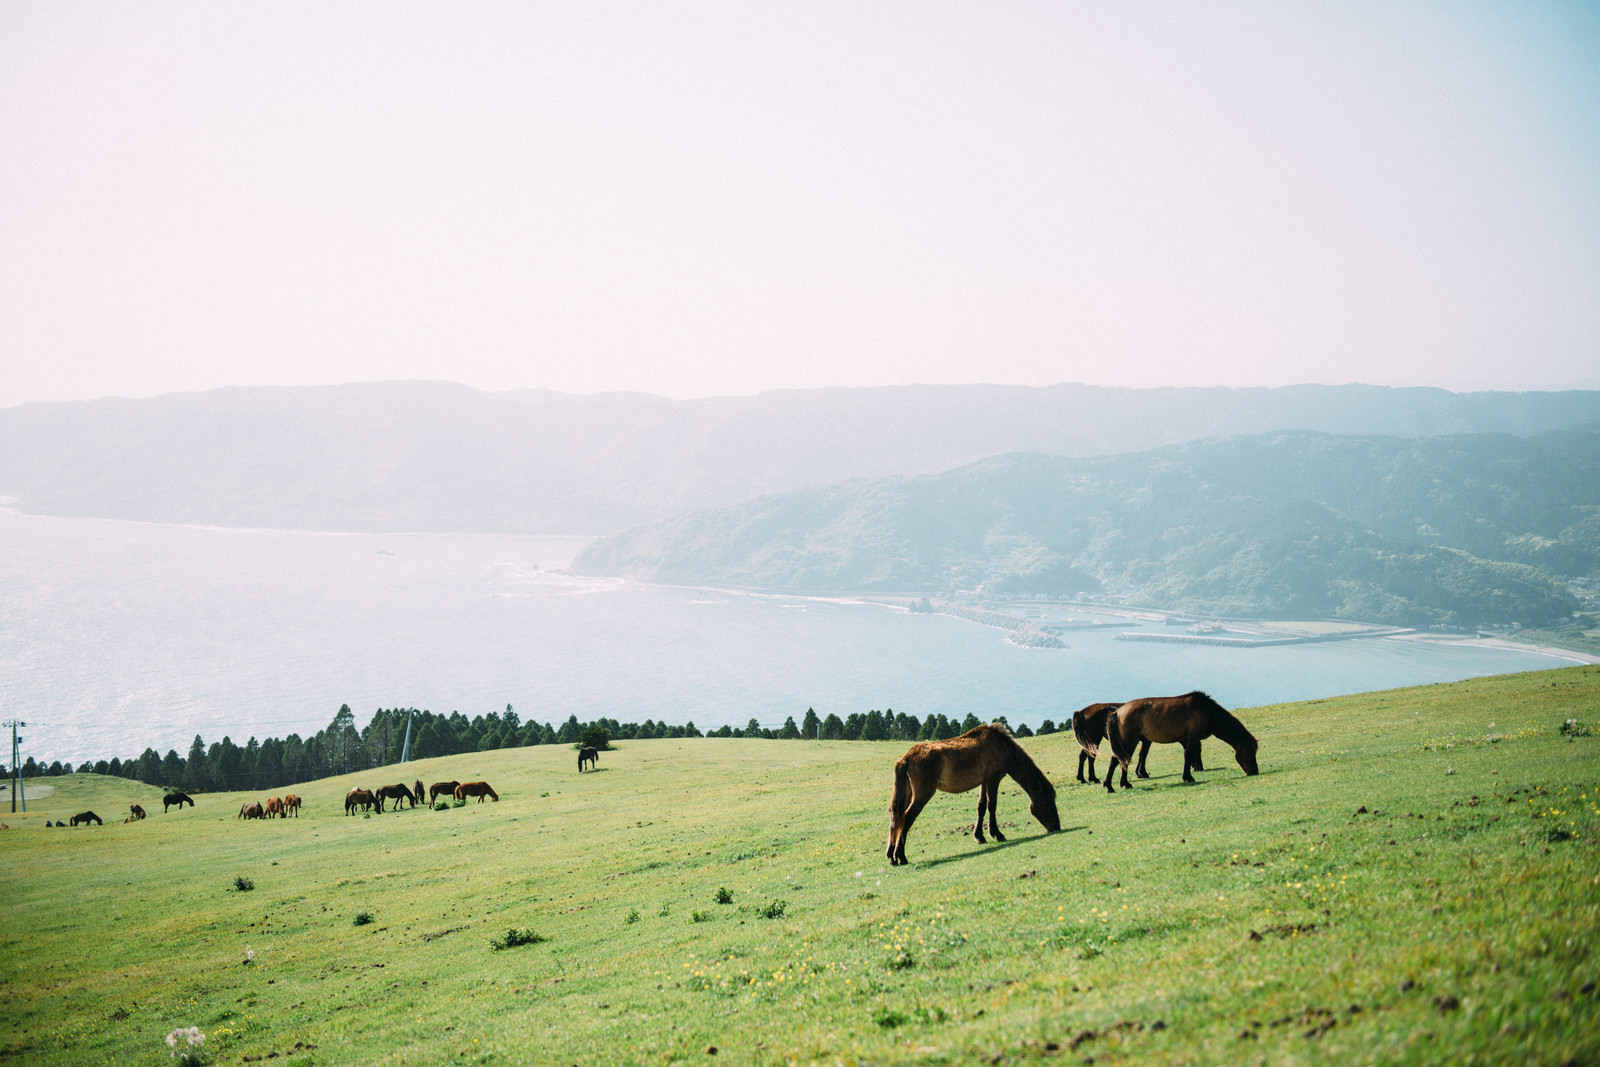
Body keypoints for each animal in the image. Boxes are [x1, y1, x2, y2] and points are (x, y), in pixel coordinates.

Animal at [883, 726, 1056, 870]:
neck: (1002, 747)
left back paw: (892, 857)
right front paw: (997, 834)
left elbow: (981, 806)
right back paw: (901, 856)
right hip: (922, 795)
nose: (1056, 827)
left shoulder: (984, 781)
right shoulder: (993, 779)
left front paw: (980, 836)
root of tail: (905, 759)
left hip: (906, 795)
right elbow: (992, 805)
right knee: (906, 818)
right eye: (1047, 801)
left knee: (895, 819)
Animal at [1100, 694, 1260, 793]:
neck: (1207, 711)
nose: (1254, 772)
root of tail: (1117, 712)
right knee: (1117, 761)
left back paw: (1121, 784)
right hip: (1129, 741)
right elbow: (1188, 756)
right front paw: (1188, 777)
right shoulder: (1192, 738)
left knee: (1119, 761)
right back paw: (1112, 785)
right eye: (1250, 752)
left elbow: (1188, 757)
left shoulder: (1186, 739)